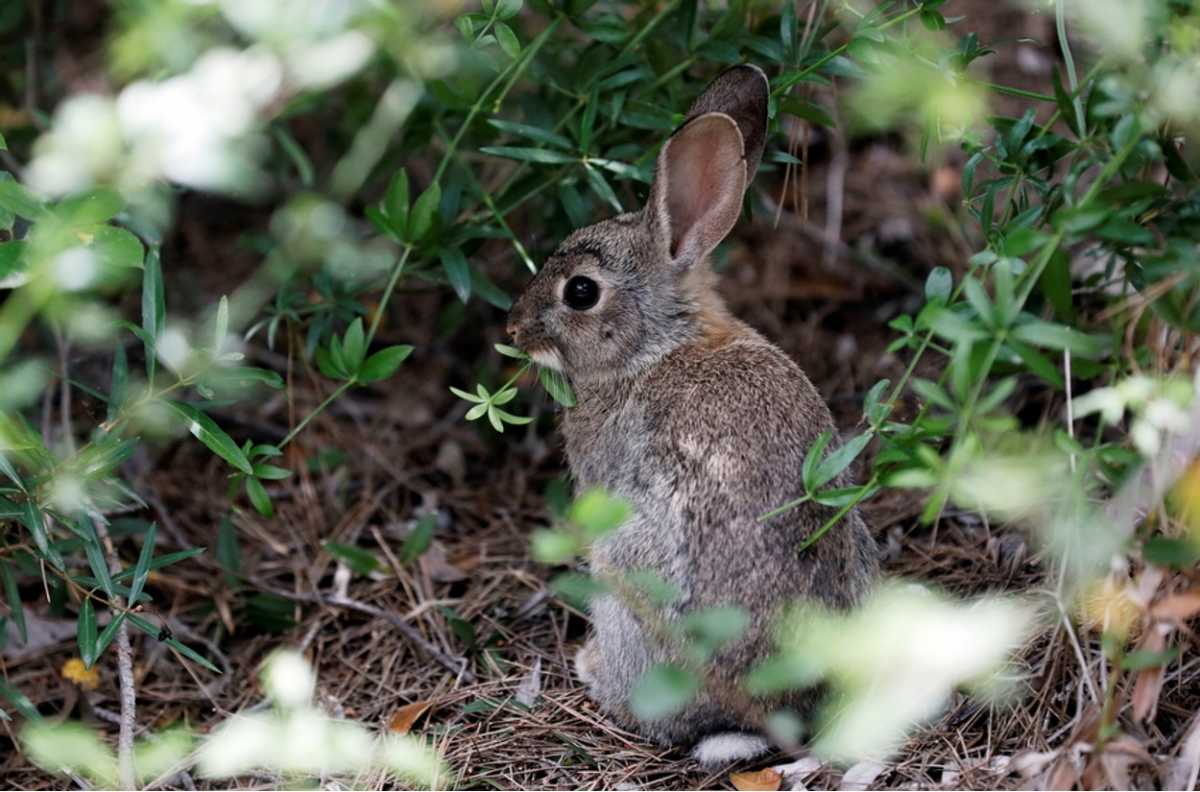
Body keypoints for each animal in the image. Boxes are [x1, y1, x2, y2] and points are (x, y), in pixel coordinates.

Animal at [506, 63, 883, 768]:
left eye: (580, 292)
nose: (514, 328)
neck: (657, 345)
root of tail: (759, 710)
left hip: (625, 573)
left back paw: (593, 668)